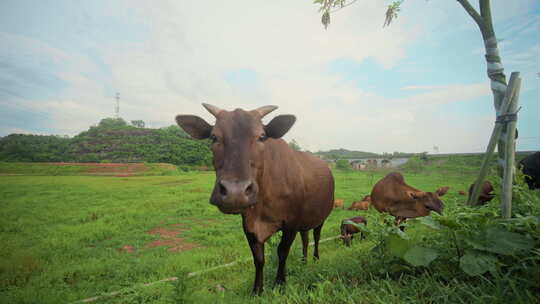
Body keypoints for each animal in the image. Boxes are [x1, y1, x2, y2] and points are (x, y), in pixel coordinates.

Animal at [175, 103, 334, 294]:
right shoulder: (249, 225)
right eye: (214, 137)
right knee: (305, 238)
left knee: (316, 236)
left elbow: (282, 252)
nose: (235, 192)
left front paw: (280, 283)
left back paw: (316, 259)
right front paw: (257, 289)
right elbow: (258, 258)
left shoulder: (291, 223)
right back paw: (304, 261)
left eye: (262, 136)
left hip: (321, 216)